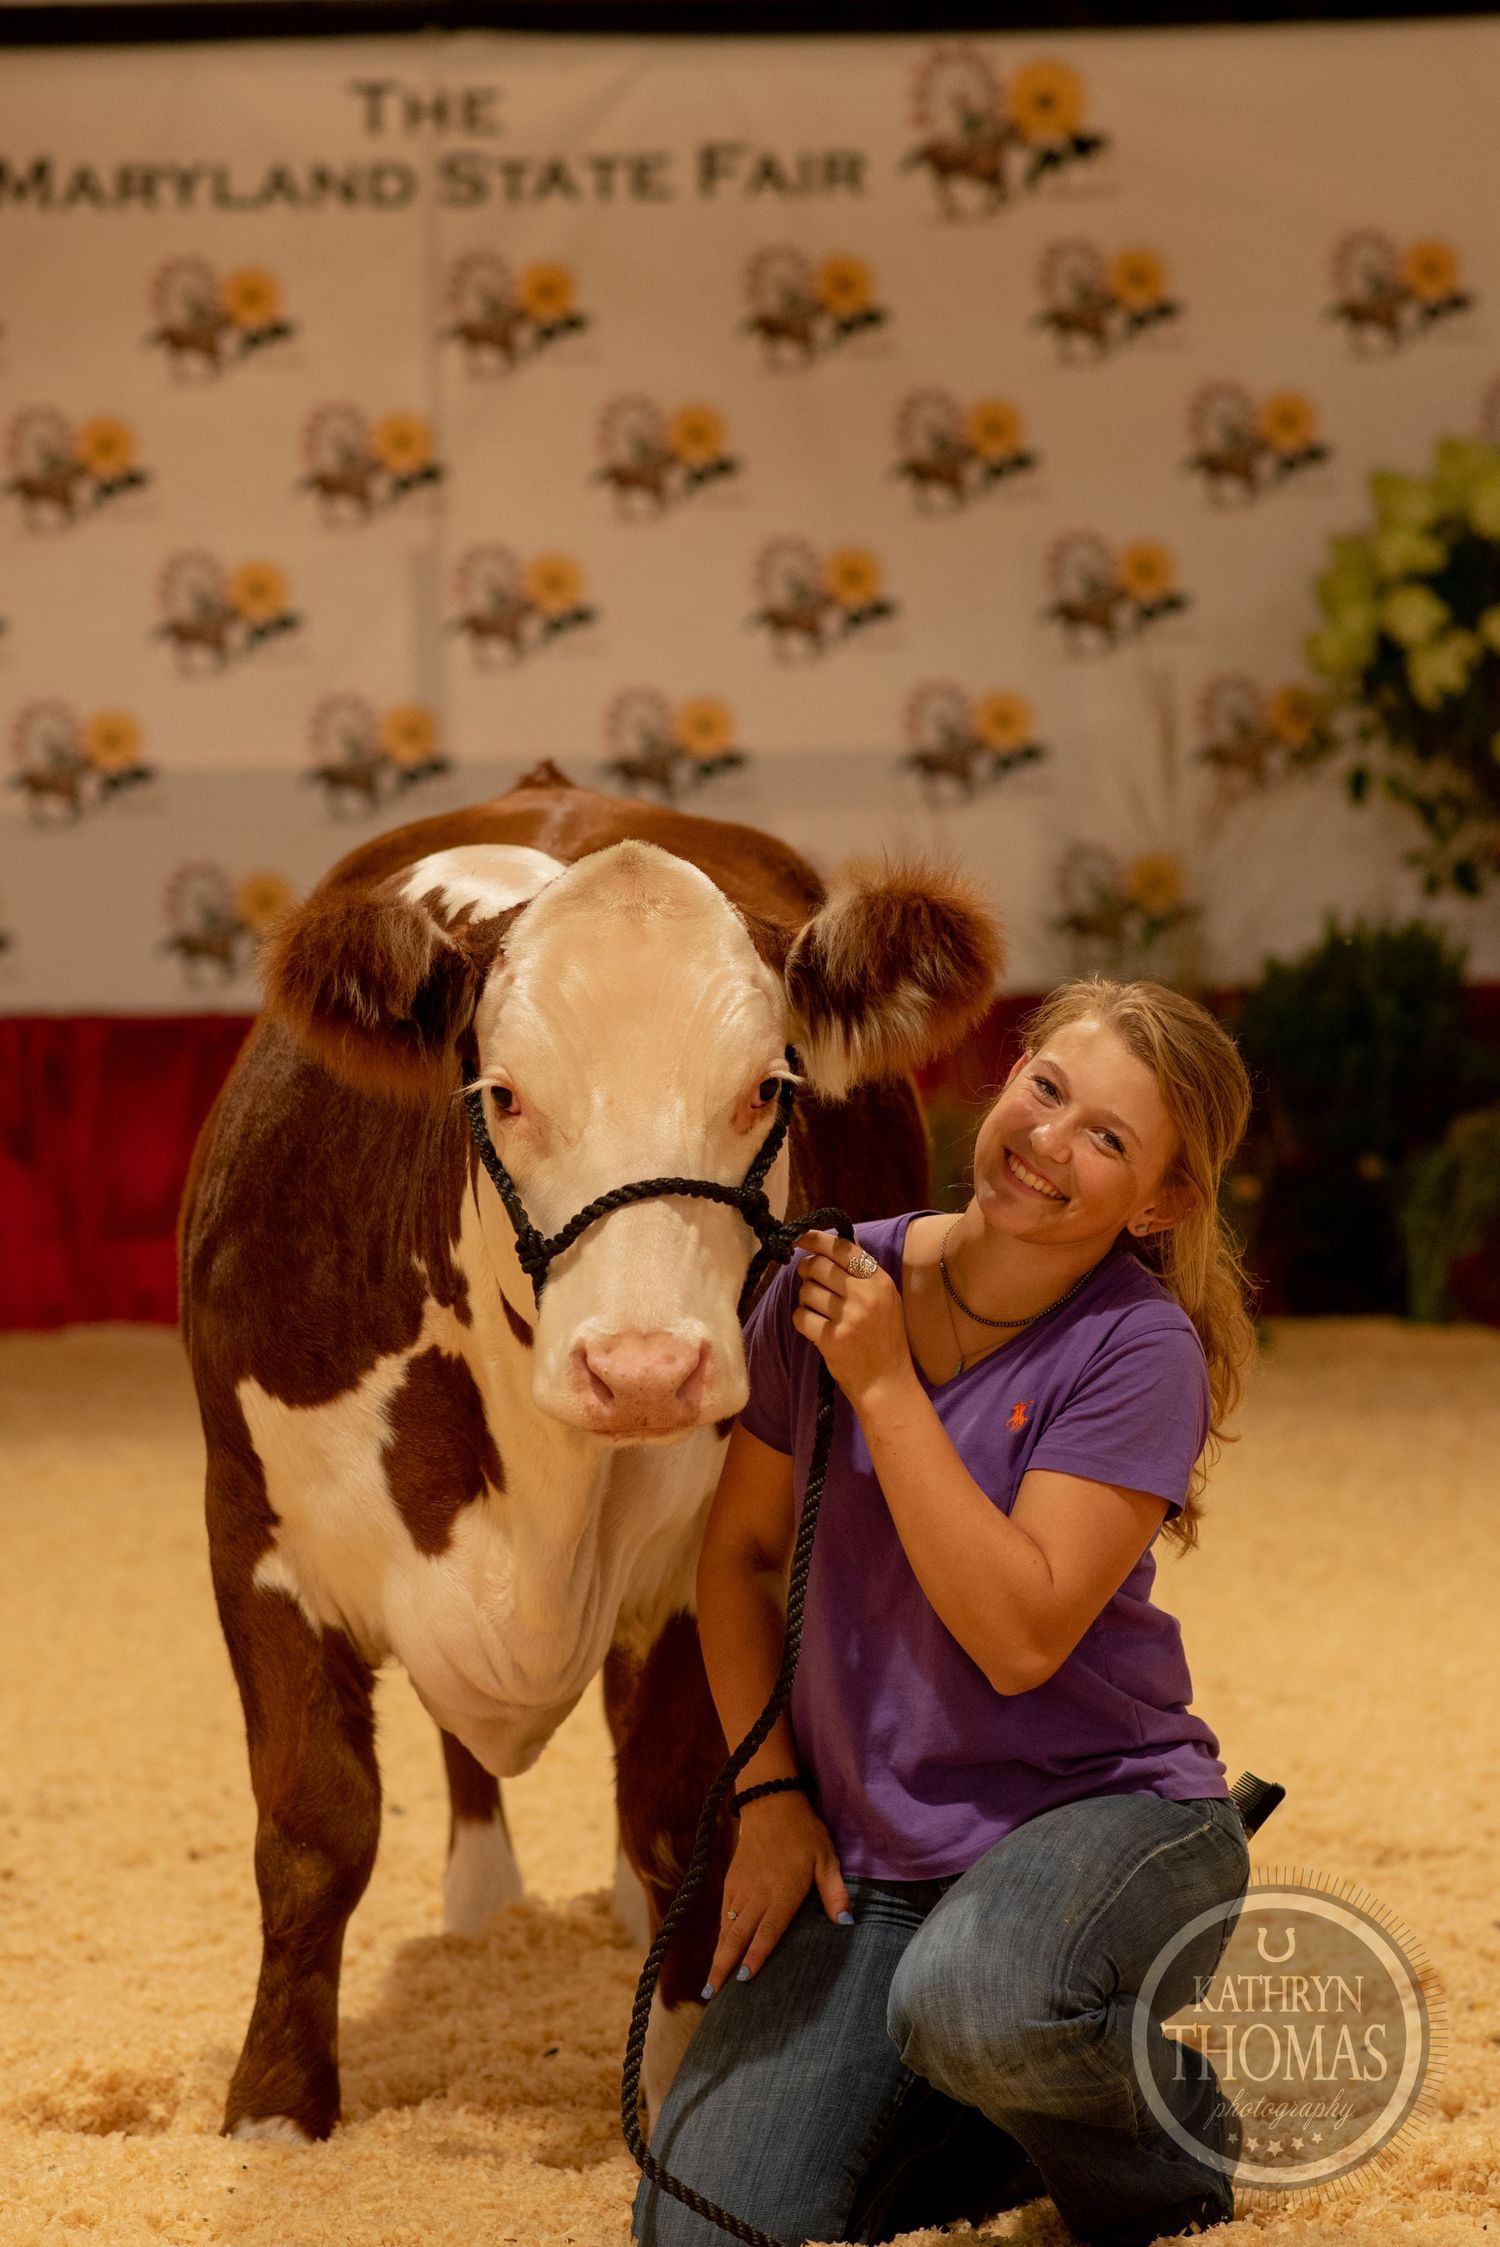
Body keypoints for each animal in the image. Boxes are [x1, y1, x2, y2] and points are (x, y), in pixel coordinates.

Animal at [178, 757, 1003, 2150]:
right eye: (503, 1094)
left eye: (769, 1089)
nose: (644, 1368)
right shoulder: (253, 1530)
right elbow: (313, 1826)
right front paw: (276, 2109)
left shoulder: (705, 1568)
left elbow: (679, 1813)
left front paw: (668, 2074)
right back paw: (481, 1905)